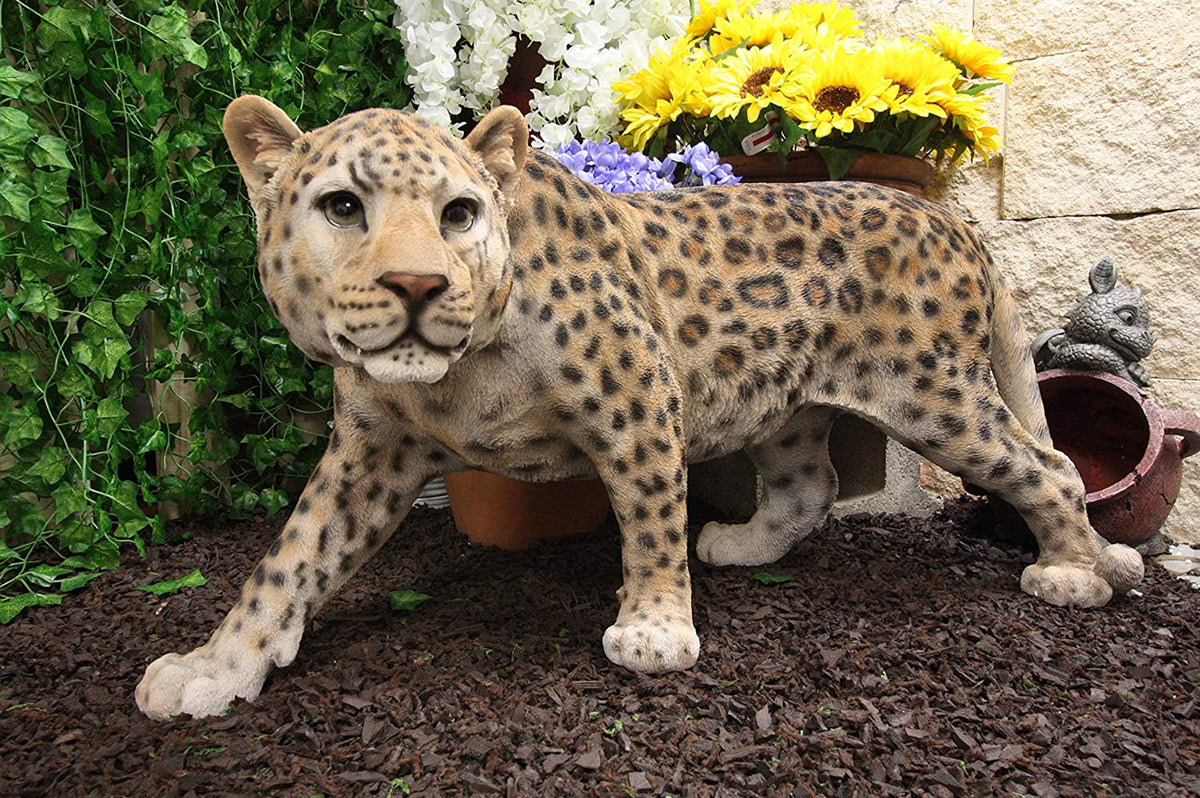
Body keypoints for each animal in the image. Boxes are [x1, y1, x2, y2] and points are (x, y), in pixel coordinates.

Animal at [135, 96, 1144, 720]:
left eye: (460, 213)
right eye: (343, 207)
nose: (418, 285)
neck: (457, 373)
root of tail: (953, 219)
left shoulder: (636, 394)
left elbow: (651, 521)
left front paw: (655, 629)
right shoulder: (371, 451)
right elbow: (287, 562)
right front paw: (213, 668)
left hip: (934, 391)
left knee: (1049, 466)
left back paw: (1074, 573)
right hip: (786, 400)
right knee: (809, 483)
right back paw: (745, 545)